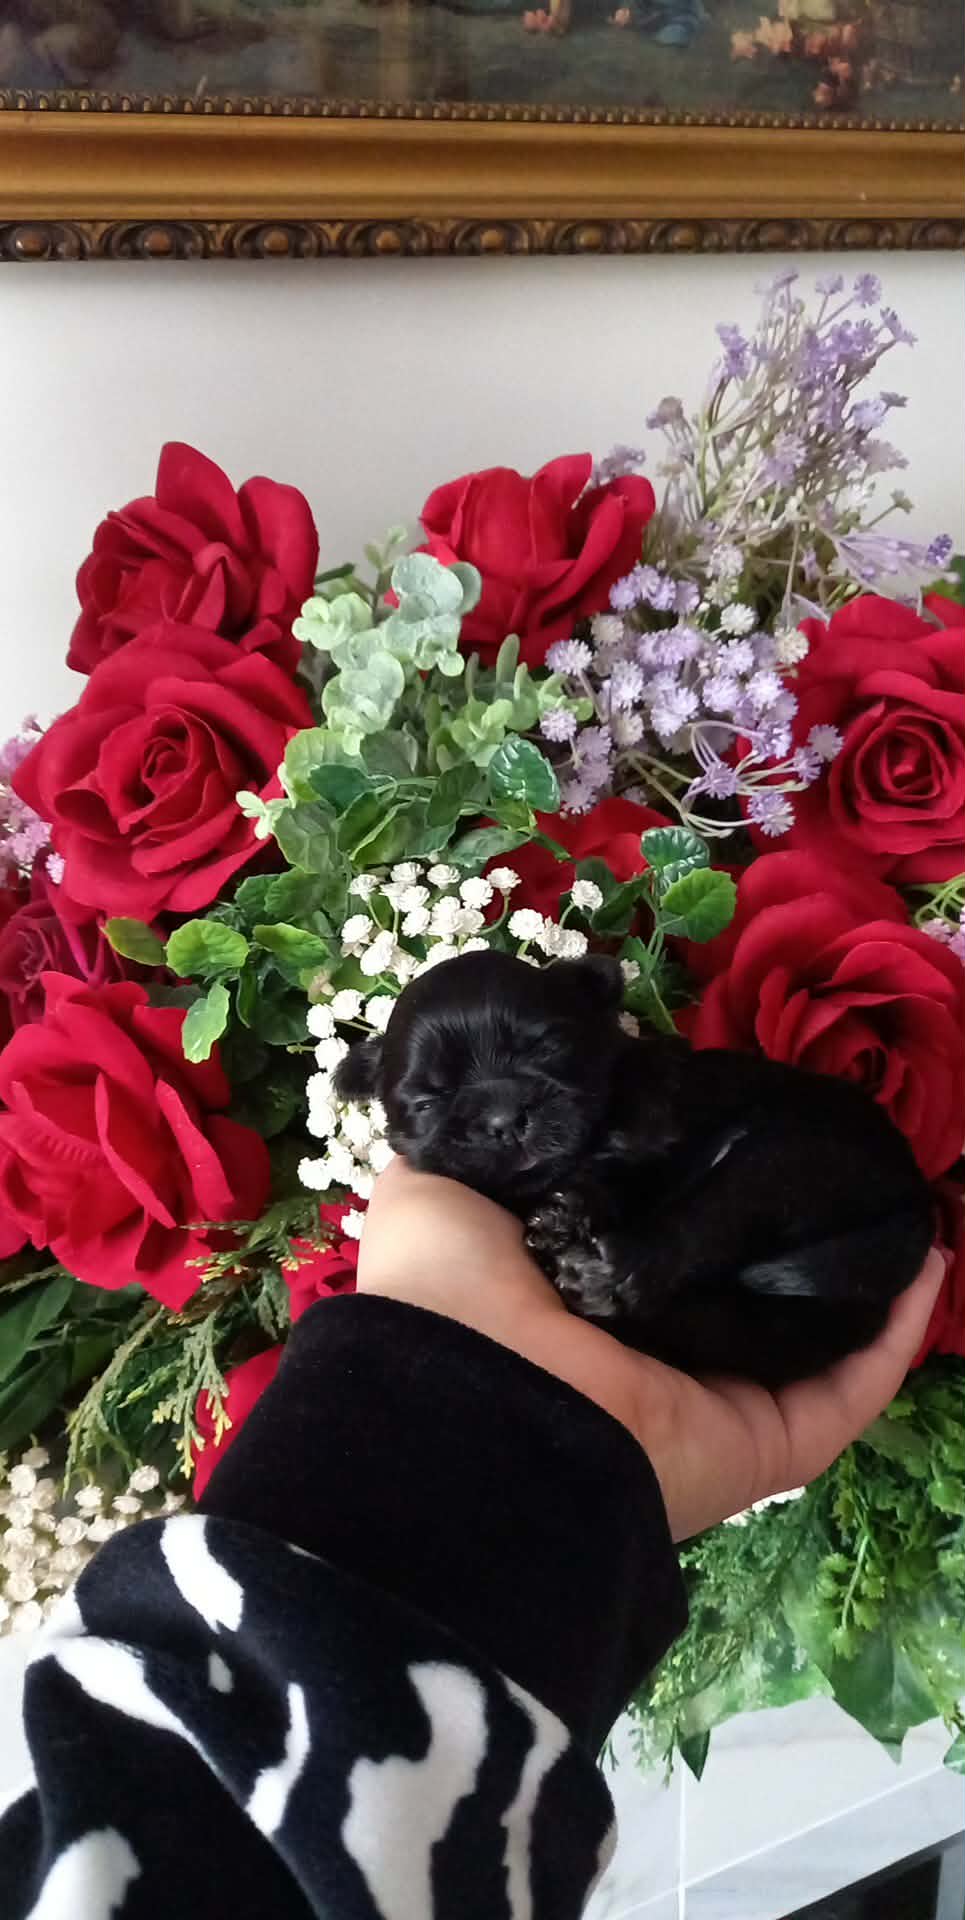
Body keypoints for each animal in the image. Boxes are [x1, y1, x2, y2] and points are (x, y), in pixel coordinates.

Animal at [335, 949, 933, 1387]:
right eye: (428, 1100)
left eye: (547, 1049)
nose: (505, 1118)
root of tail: (915, 1203)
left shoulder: (660, 1123)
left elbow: (630, 1168)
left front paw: (571, 1215)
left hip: (794, 1157)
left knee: (709, 1221)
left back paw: (605, 1271)